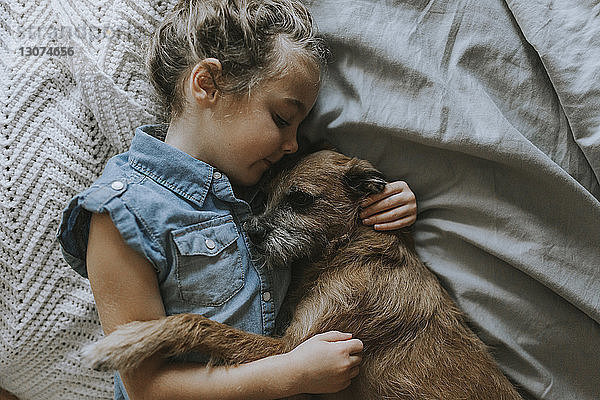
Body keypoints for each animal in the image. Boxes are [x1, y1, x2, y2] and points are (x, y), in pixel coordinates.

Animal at [82, 151, 524, 400]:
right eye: (263, 196)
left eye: (300, 199)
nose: (253, 232)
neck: (346, 250)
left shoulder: (292, 348)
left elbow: (198, 323)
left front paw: (124, 343)